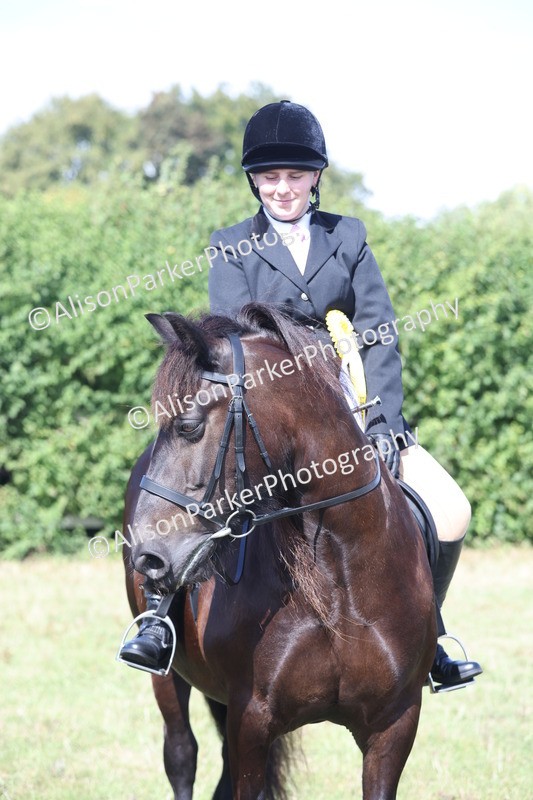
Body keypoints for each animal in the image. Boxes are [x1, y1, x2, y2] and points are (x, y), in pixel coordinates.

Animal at [120, 303, 436, 800]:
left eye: (189, 426)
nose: (148, 558)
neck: (338, 577)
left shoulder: (395, 725)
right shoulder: (251, 722)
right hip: (168, 680)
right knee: (182, 755)